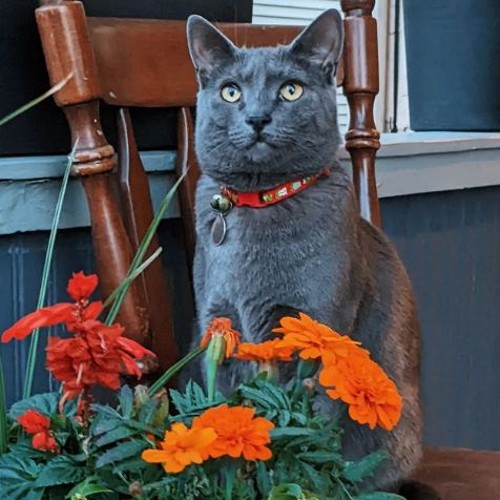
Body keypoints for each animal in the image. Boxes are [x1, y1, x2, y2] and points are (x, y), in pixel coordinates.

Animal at [187, 8, 426, 496]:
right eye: (231, 91)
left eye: (290, 90)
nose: (257, 117)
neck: (262, 203)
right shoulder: (218, 319)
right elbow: (223, 406)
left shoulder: (319, 322)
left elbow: (312, 420)